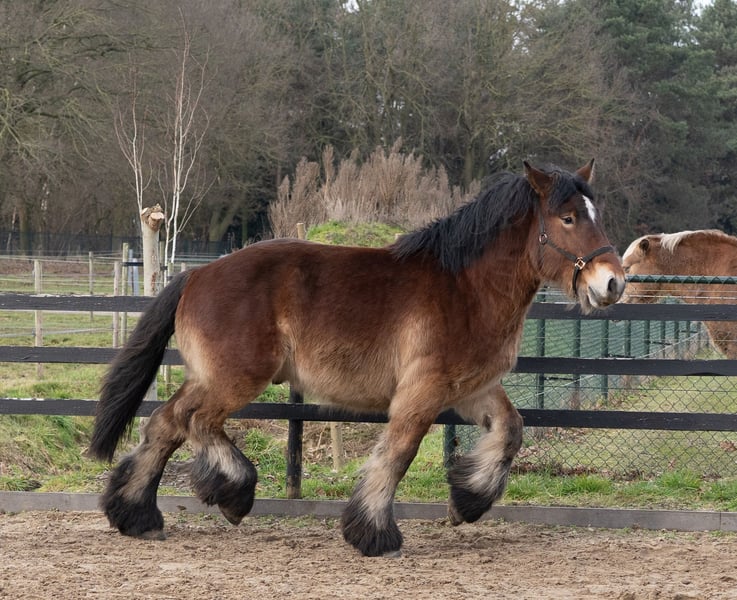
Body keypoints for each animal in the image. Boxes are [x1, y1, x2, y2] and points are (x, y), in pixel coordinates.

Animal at [88, 159, 625, 557]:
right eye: (568, 218)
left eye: (596, 214)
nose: (613, 283)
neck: (466, 287)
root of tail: (196, 276)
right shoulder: (422, 392)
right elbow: (398, 454)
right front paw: (375, 534)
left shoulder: (471, 390)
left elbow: (510, 431)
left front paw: (467, 502)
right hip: (236, 379)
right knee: (195, 422)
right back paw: (233, 494)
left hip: (209, 377)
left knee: (166, 422)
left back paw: (137, 516)